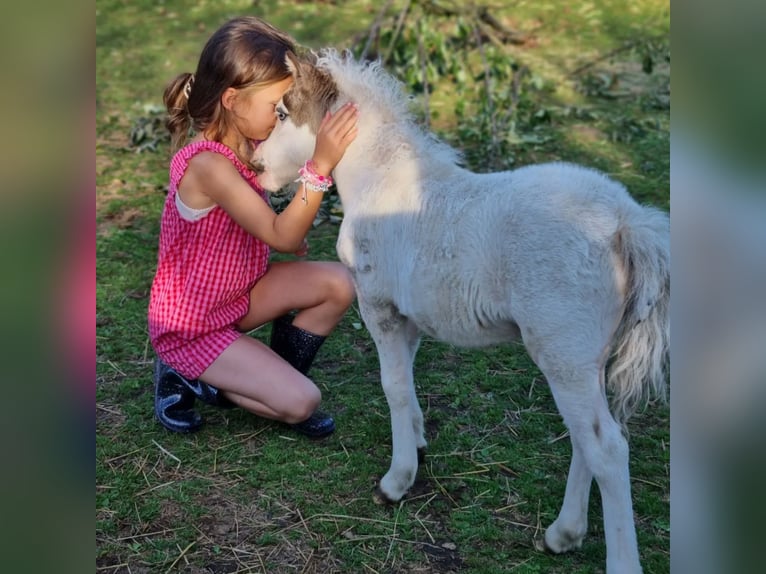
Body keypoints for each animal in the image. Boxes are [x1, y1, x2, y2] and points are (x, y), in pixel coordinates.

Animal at [252, 49, 670, 574]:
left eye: (283, 112)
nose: (257, 165)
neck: (380, 181)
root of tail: (625, 222)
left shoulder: (379, 306)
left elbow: (393, 386)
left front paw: (397, 481)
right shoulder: (409, 316)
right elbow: (408, 381)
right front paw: (417, 444)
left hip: (563, 354)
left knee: (607, 447)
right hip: (583, 359)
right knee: (586, 439)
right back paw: (562, 534)